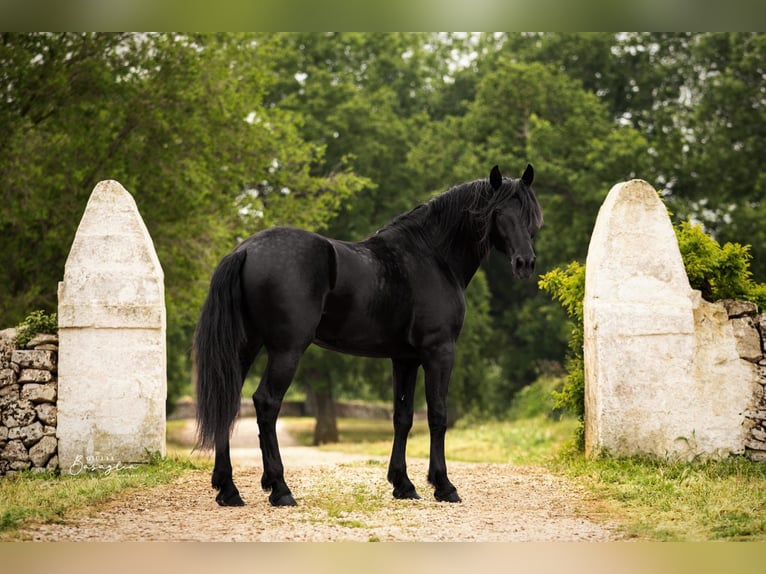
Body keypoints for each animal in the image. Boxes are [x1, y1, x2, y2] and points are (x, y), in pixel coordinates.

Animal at [194, 164, 543, 507]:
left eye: (529, 216)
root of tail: (245, 250)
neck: (432, 257)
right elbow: (437, 414)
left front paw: (403, 484)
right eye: (499, 213)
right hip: (286, 350)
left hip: (246, 347)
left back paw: (229, 490)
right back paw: (280, 489)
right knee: (266, 403)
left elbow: (403, 417)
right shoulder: (439, 351)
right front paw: (443, 486)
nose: (525, 263)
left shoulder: (405, 358)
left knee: (227, 401)